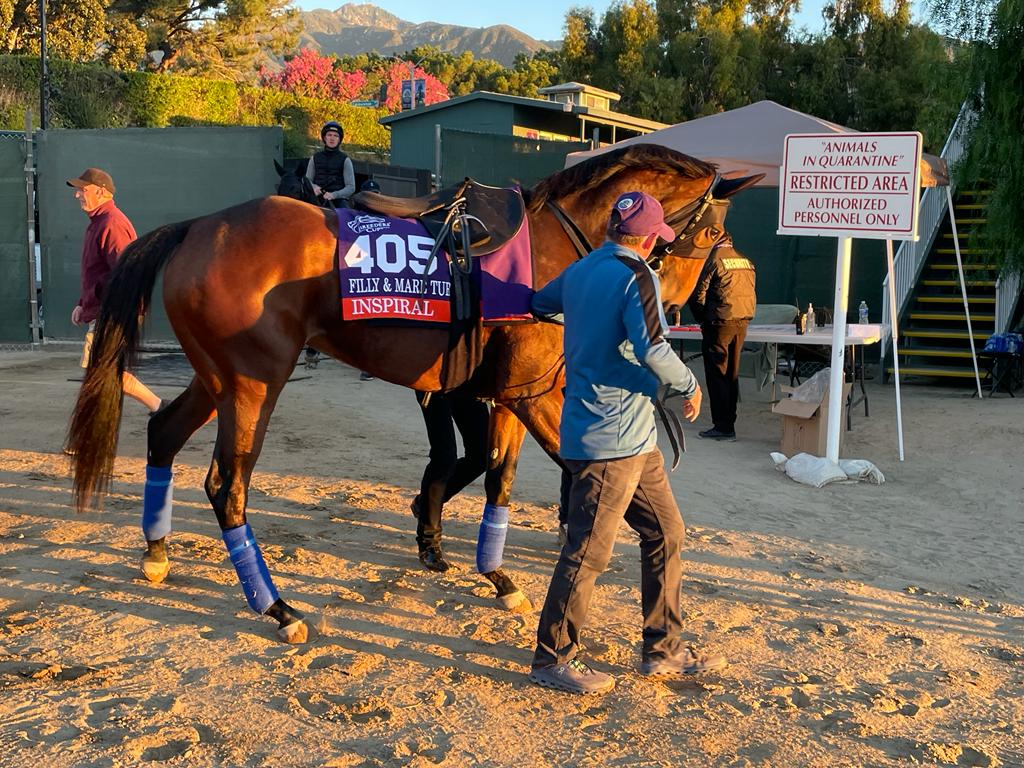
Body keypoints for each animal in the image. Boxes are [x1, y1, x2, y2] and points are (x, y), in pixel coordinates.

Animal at [66, 144, 753, 643]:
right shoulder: (532, 394)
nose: (669, 310)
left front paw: (494, 573)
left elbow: (498, 476)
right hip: (254, 383)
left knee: (163, 432)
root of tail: (197, 227)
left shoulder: (507, 394)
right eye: (710, 235)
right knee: (225, 485)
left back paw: (157, 552)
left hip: (219, 378)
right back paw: (277, 608)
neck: (556, 249)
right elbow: (581, 472)